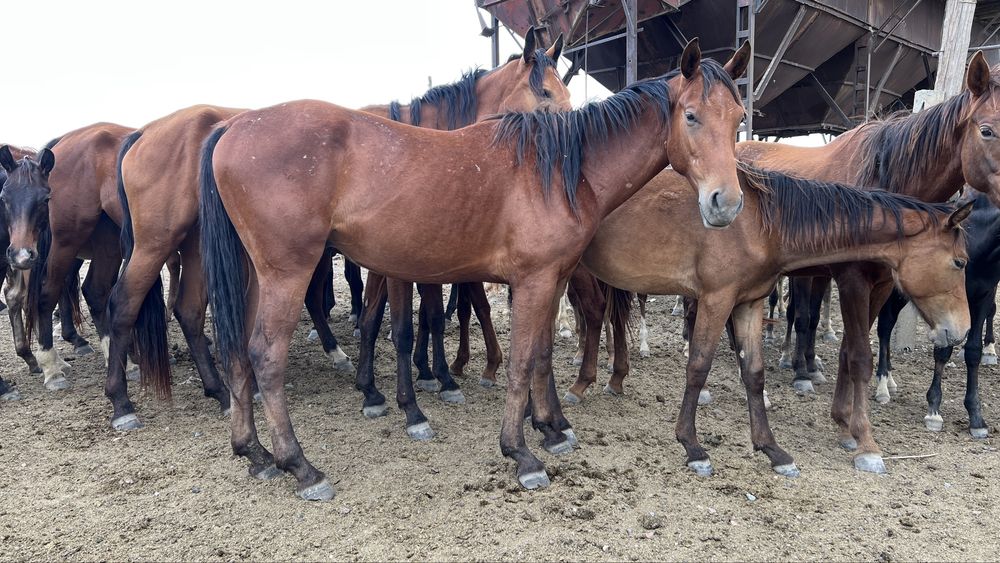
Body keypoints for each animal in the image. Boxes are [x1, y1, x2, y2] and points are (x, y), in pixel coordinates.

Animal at [569, 165, 972, 477]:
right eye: (960, 262)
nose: (963, 330)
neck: (761, 224)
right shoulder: (716, 299)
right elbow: (698, 366)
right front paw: (693, 446)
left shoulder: (748, 303)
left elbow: (754, 374)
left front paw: (772, 450)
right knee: (591, 314)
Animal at [874, 190, 999, 435]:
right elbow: (943, 351)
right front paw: (934, 409)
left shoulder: (983, 297)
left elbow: (973, 351)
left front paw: (976, 416)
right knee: (885, 325)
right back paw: (883, 384)